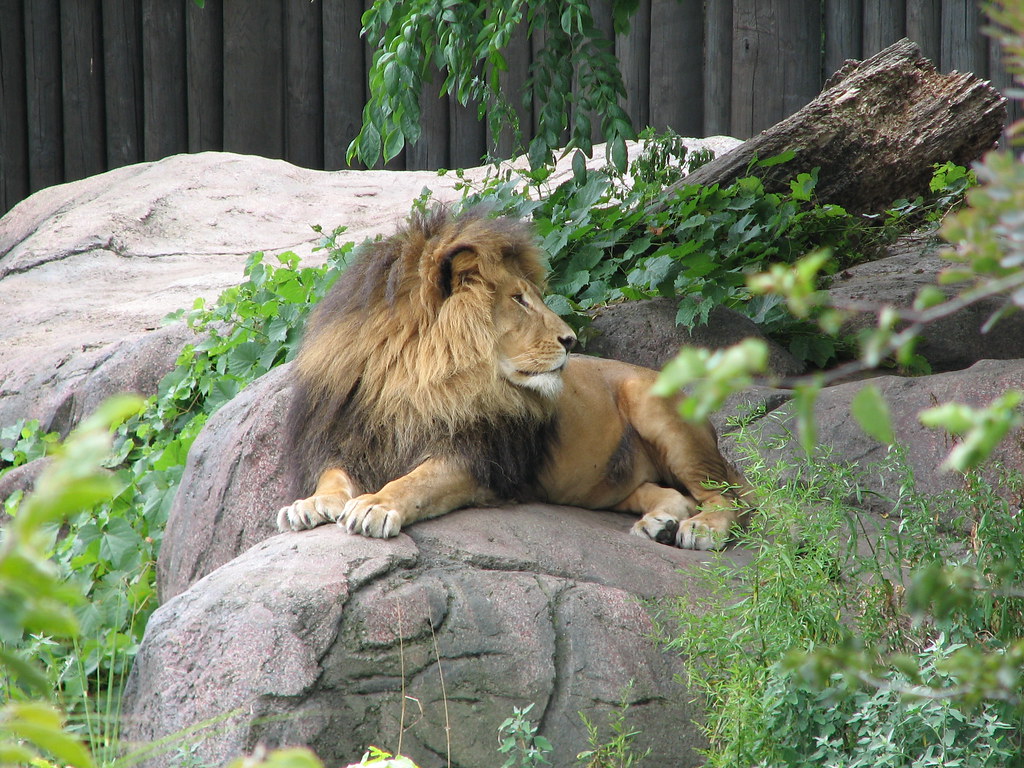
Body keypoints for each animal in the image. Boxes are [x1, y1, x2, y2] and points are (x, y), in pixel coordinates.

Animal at [277, 205, 754, 550]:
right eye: (519, 300)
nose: (571, 340)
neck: (411, 380)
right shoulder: (351, 439)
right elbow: (332, 477)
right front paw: (309, 504)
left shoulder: (478, 459)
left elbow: (417, 480)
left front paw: (375, 503)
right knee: (674, 495)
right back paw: (660, 523)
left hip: (658, 410)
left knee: (727, 496)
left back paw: (703, 528)